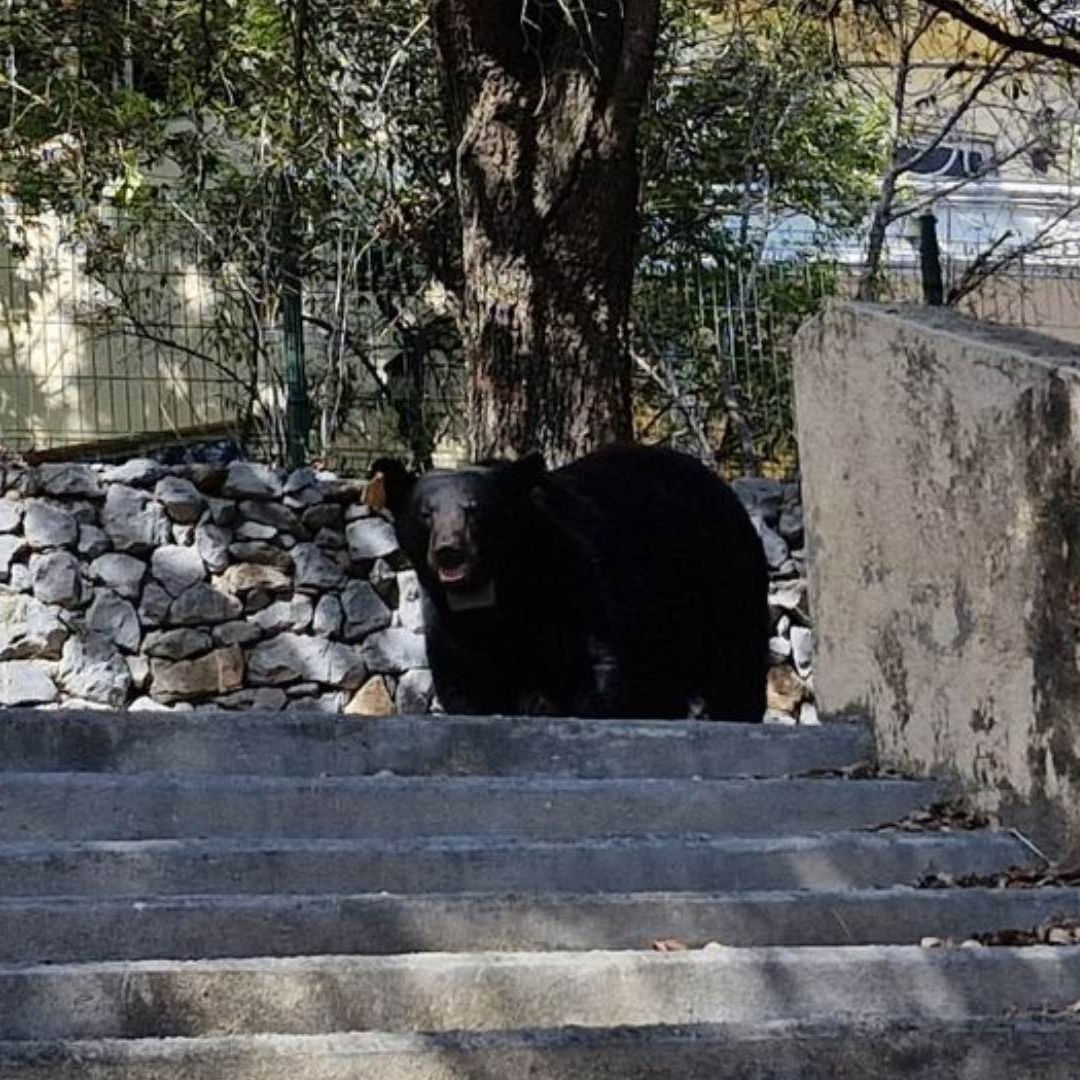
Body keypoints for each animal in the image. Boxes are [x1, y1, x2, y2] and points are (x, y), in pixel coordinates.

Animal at [366, 444, 768, 721]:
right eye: (425, 514)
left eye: (474, 510)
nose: (450, 552)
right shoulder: (449, 620)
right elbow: (465, 682)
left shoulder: (578, 582)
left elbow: (596, 668)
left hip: (721, 582)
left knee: (735, 664)